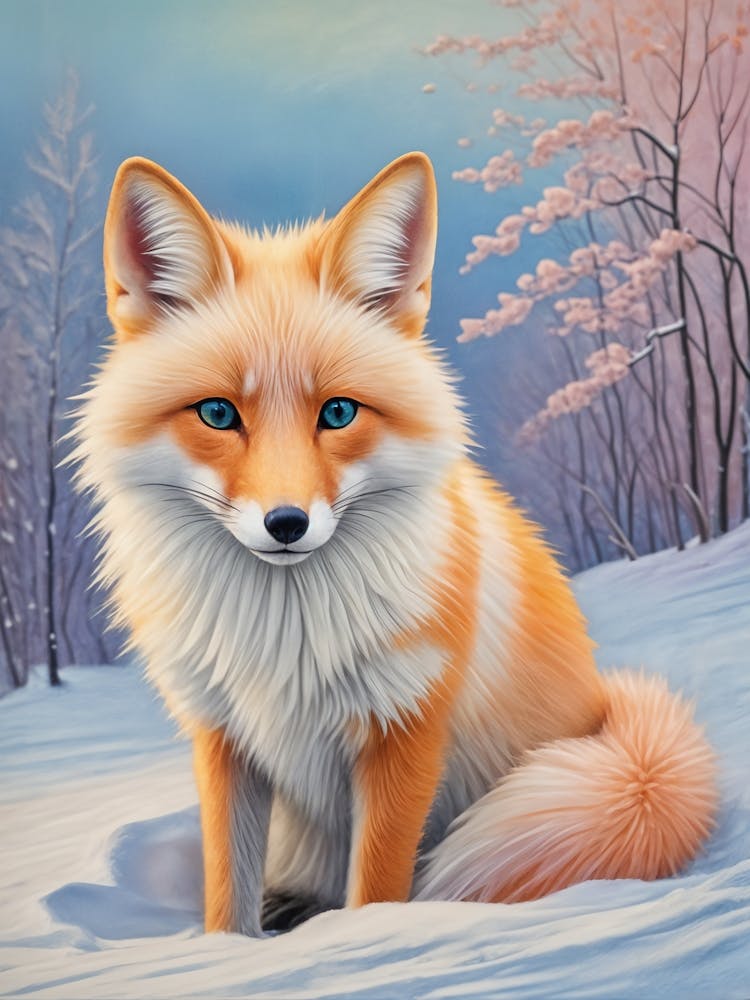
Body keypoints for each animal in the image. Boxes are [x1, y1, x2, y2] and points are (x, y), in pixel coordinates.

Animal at [74, 151, 718, 936]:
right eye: (219, 414)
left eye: (339, 413)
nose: (286, 524)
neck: (284, 641)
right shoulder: (224, 738)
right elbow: (228, 889)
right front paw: (228, 947)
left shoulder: (405, 731)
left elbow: (377, 887)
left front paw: (367, 940)